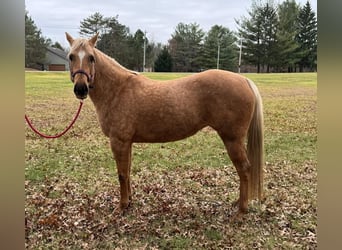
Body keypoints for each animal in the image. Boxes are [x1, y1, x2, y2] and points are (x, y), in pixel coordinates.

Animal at [66, 31, 264, 215]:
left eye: (91, 57)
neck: (118, 90)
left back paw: (241, 210)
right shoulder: (127, 143)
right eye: (71, 56)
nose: (80, 89)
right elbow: (127, 172)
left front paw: (121, 207)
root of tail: (244, 79)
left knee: (244, 169)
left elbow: (121, 174)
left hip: (232, 139)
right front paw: (129, 202)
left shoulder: (118, 141)